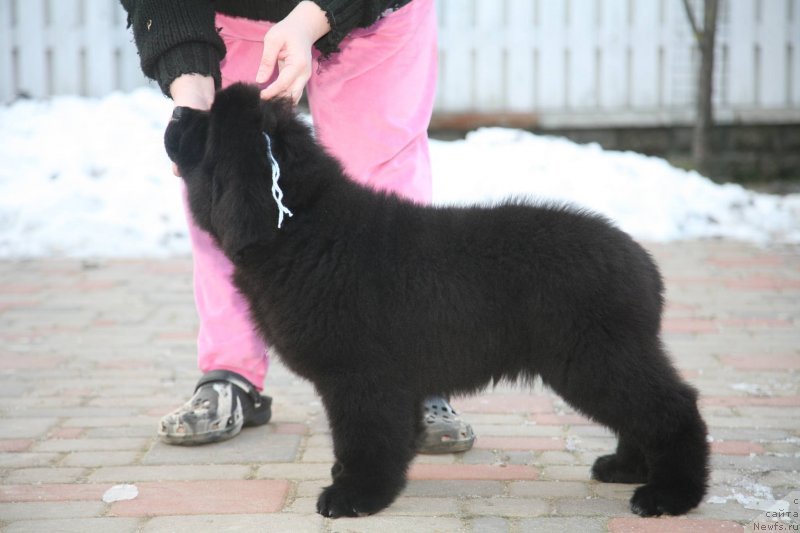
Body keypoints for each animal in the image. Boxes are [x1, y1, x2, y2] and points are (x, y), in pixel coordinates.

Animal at [164, 84, 708, 520]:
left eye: (208, 121)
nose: (177, 109)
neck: (302, 227)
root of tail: (642, 262)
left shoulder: (362, 378)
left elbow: (365, 438)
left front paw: (354, 496)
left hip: (595, 357)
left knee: (672, 407)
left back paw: (670, 495)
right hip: (604, 359)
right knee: (641, 413)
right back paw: (626, 468)